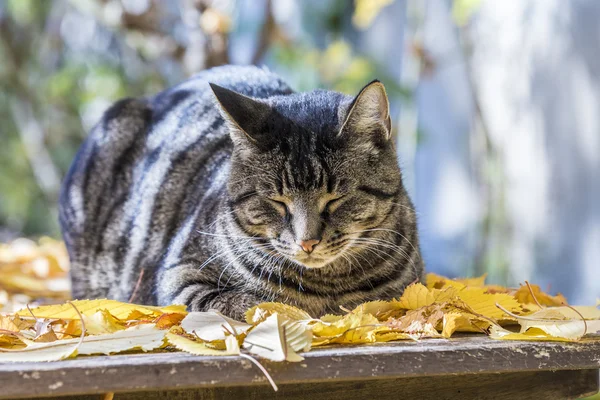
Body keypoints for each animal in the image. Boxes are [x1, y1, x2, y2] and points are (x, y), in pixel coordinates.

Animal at [57, 67, 422, 320]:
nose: (307, 242)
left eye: (336, 199)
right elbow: (242, 301)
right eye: (277, 201)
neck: (327, 285)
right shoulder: (178, 275)